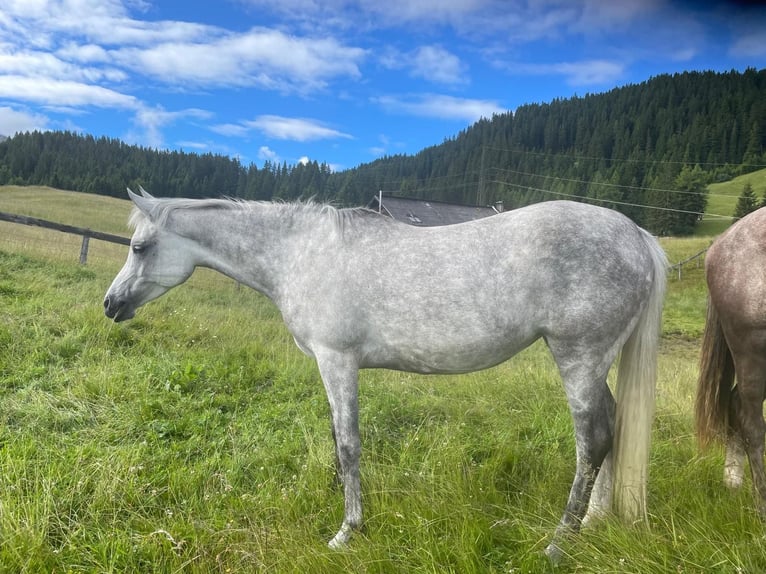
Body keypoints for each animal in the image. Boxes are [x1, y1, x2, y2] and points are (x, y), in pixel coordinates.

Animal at [105, 190, 668, 564]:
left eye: (138, 247)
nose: (111, 305)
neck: (301, 253)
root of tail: (637, 237)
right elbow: (339, 439)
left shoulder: (336, 360)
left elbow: (348, 444)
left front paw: (347, 532)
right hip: (597, 362)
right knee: (614, 427)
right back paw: (595, 520)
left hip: (579, 357)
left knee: (593, 439)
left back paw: (559, 543)